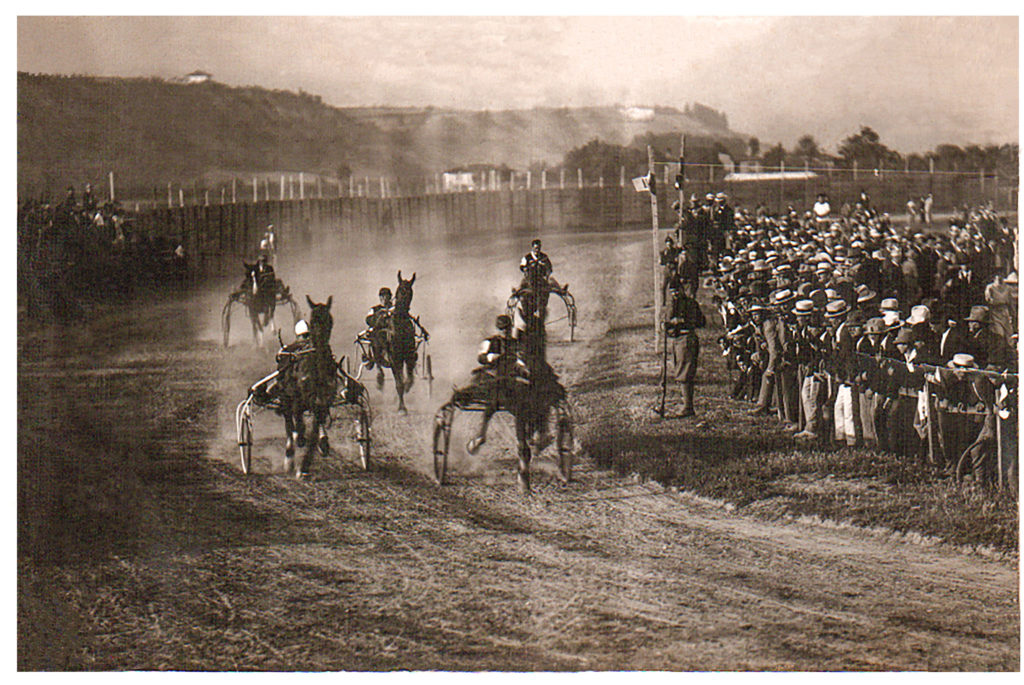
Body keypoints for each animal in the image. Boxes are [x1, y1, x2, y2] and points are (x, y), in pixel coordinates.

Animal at [278, 296, 337, 479]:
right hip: (285, 397)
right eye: (313, 320)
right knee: (289, 423)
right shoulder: (297, 397)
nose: (320, 346)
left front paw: (305, 465)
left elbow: (315, 432)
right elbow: (298, 424)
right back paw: (289, 456)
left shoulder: (322, 402)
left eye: (329, 320)